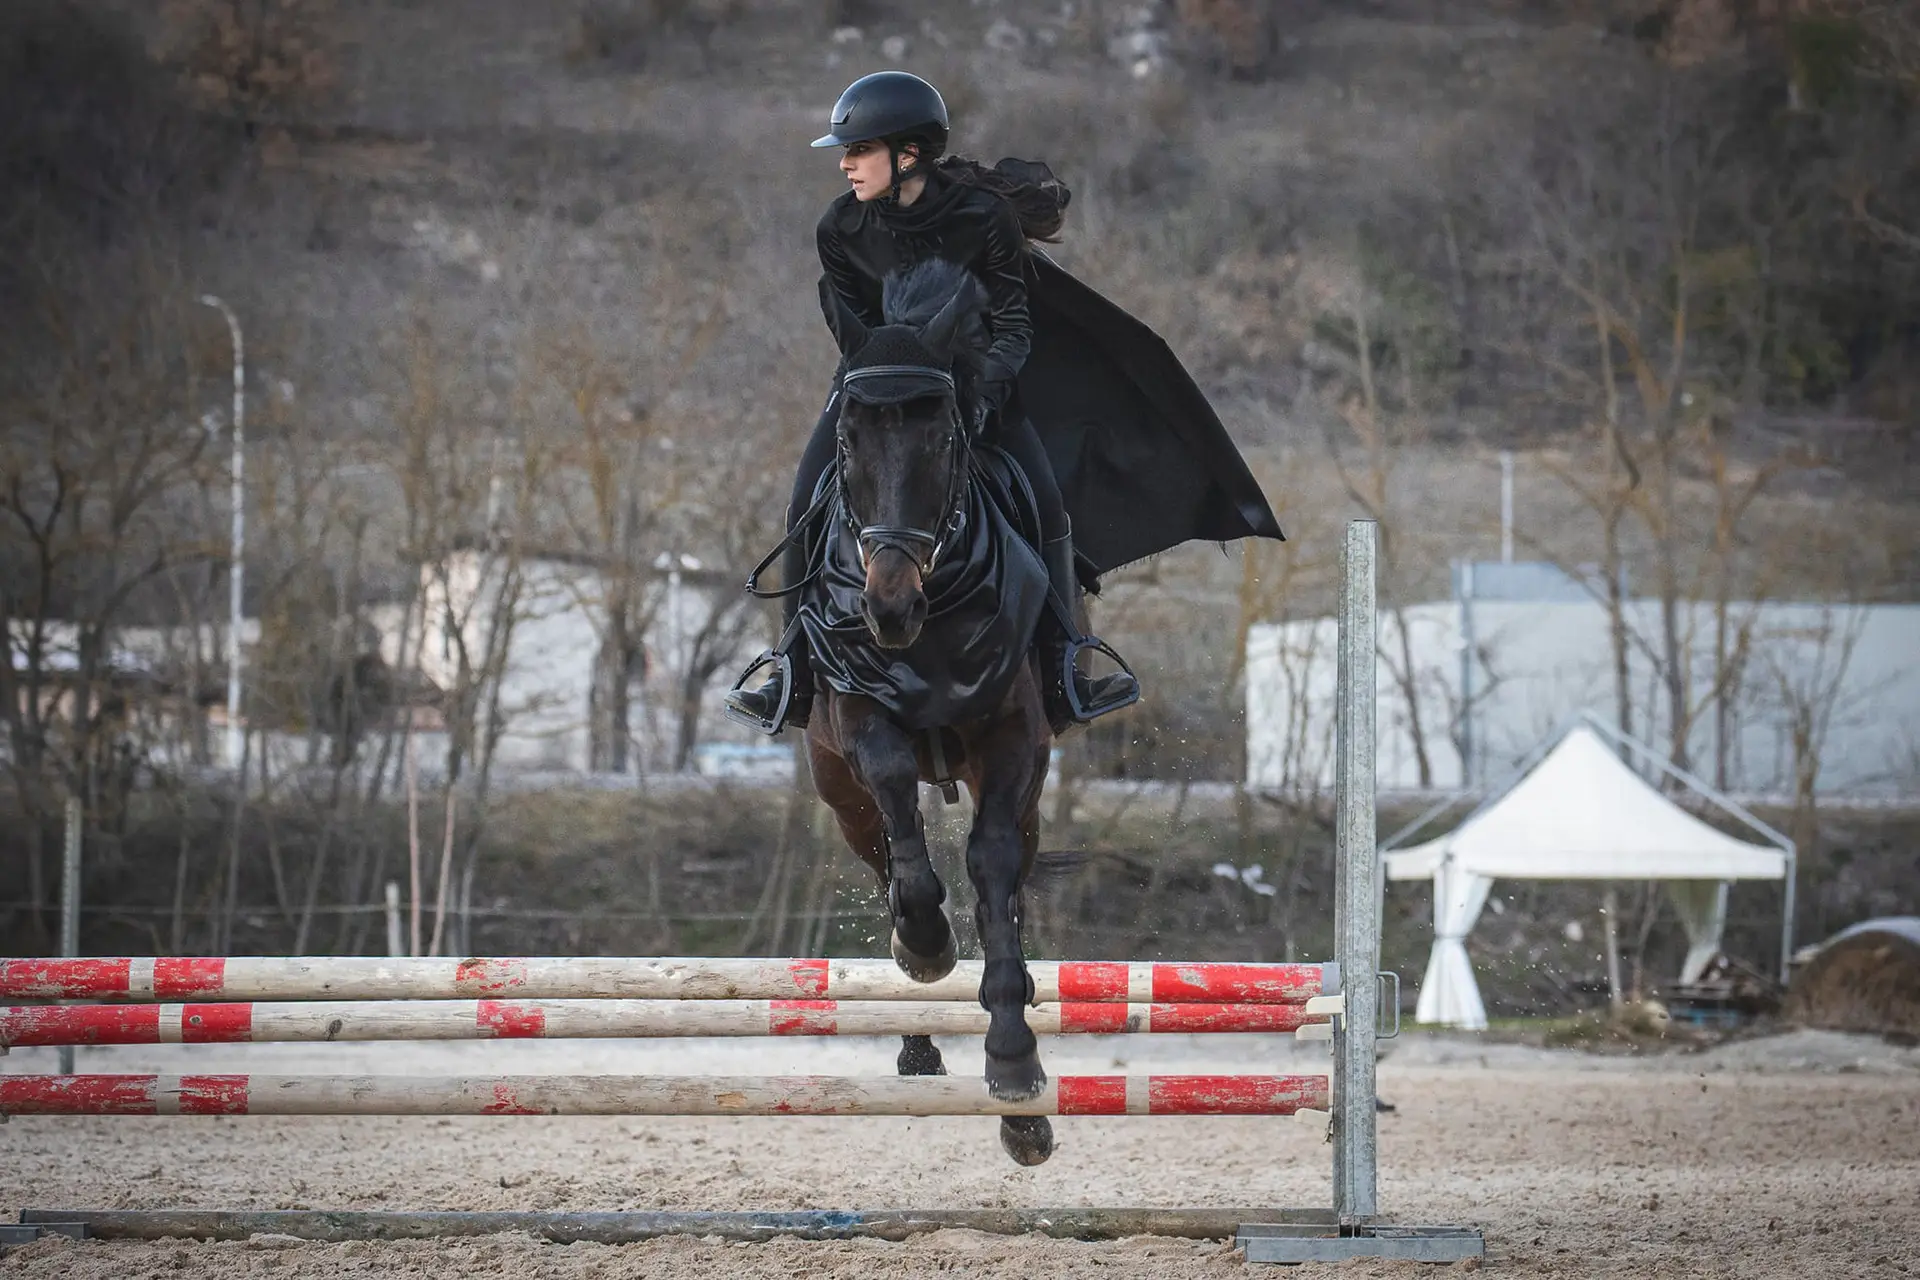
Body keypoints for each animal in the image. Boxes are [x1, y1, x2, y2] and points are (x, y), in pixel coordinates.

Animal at [798, 264, 1059, 1166]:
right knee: (884, 850)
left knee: (1003, 876)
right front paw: (924, 941)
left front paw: (1017, 1077)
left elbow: (992, 868)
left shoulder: (1015, 743)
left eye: (944, 441)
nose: (889, 607)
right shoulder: (859, 719)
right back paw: (916, 1019)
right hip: (836, 793)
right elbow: (903, 840)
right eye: (847, 443)